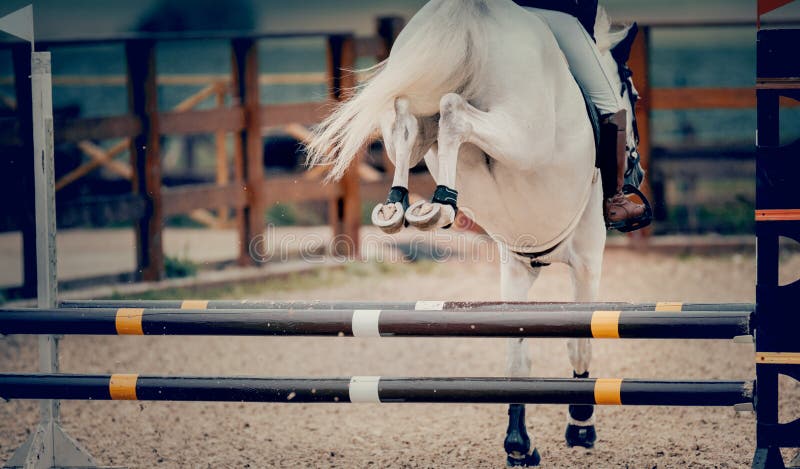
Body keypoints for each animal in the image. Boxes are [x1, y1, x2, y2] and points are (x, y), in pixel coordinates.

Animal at [306, 0, 636, 464]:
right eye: (634, 95)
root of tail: (472, 14)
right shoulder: (588, 258)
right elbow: (580, 341)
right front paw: (581, 425)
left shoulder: (518, 266)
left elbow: (518, 358)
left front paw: (519, 444)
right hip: (521, 131)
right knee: (454, 114)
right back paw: (440, 203)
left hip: (427, 105)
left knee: (410, 117)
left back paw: (404, 206)